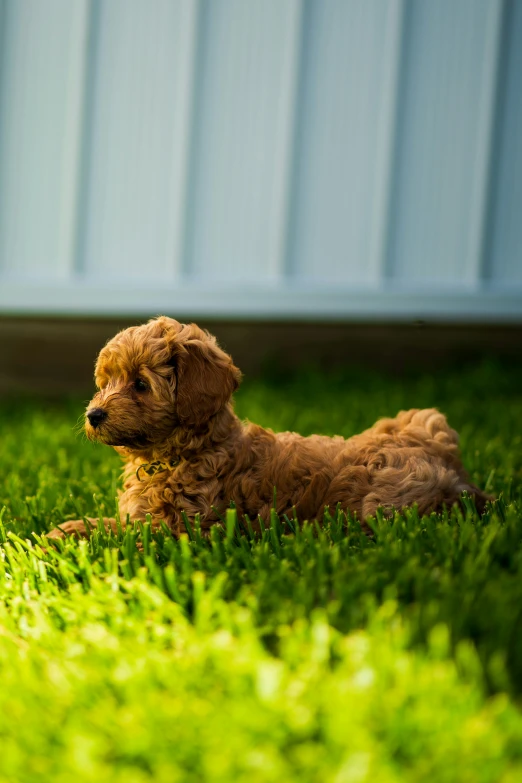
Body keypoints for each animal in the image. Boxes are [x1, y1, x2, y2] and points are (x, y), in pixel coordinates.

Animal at [46, 316, 486, 540]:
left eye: (140, 384)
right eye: (105, 382)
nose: (94, 415)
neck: (182, 452)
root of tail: (443, 452)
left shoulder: (183, 529)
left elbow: (122, 537)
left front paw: (66, 540)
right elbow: (110, 524)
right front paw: (69, 528)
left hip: (377, 498)